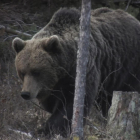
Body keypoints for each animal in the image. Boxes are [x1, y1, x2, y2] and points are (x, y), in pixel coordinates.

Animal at [12, 7, 140, 137]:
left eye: (36, 71)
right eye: (22, 72)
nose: (25, 93)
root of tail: (134, 18)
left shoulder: (82, 72)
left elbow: (71, 105)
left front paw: (48, 129)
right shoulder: (52, 87)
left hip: (128, 66)